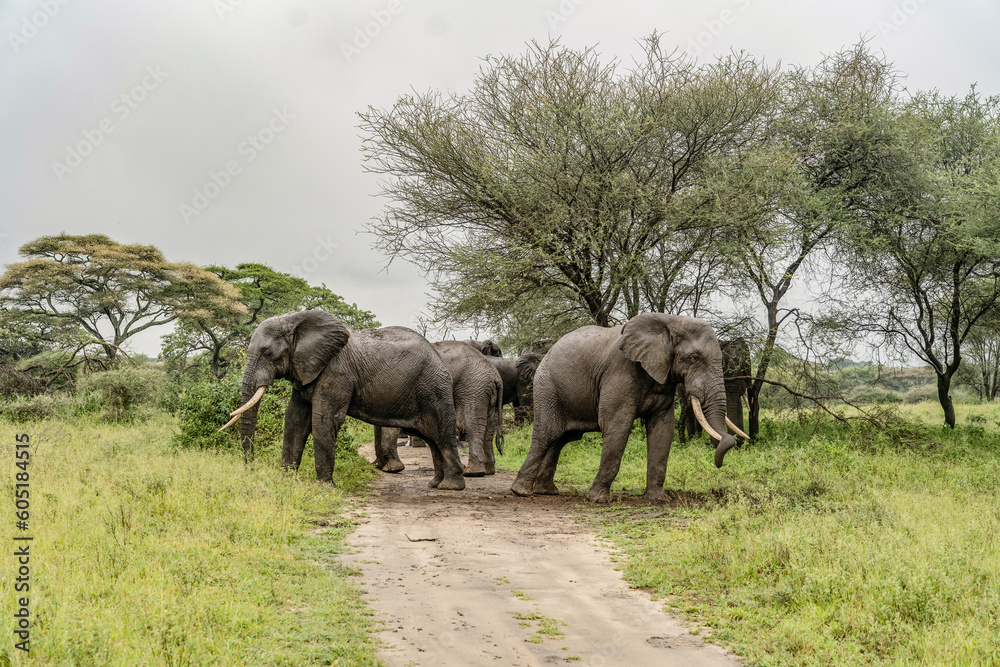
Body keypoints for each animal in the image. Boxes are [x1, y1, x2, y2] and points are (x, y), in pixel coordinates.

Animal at [222, 310, 465, 490]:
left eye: (268, 354)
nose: (250, 469)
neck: (295, 320)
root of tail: (438, 357)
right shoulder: (305, 370)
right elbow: (295, 420)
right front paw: (286, 480)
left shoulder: (337, 373)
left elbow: (323, 419)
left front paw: (322, 488)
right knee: (433, 440)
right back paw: (435, 484)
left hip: (434, 389)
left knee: (442, 436)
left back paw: (451, 487)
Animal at [374, 340, 504, 477]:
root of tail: (495, 374)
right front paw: (378, 465)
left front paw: (392, 469)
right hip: (485, 392)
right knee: (489, 430)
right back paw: (488, 471)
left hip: (473, 388)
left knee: (469, 424)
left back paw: (472, 473)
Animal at [510, 313, 743, 503]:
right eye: (694, 358)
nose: (719, 464)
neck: (670, 321)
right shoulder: (620, 372)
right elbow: (617, 426)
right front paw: (598, 500)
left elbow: (663, 430)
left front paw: (658, 499)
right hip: (547, 386)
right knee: (548, 433)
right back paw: (521, 491)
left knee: (562, 438)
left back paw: (547, 491)